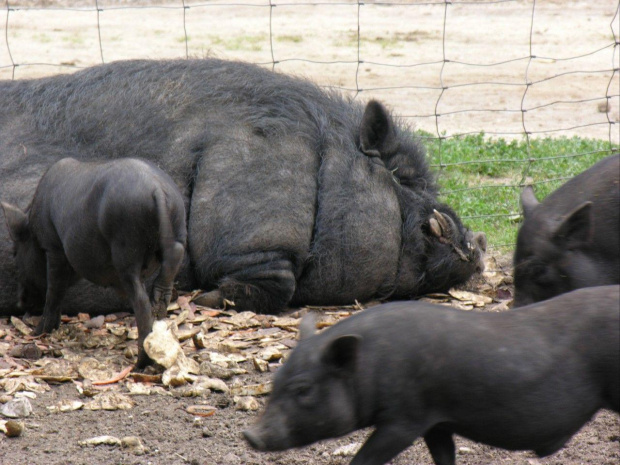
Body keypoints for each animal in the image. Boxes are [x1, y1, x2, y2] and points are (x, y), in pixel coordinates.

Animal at [0, 58, 484, 318]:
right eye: (402, 176)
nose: (478, 245)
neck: (322, 161)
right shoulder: (255, 218)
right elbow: (274, 281)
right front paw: (205, 297)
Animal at [2, 159, 186, 366]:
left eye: (15, 252)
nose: (20, 302)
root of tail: (158, 189)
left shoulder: (53, 246)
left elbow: (54, 290)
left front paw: (38, 332)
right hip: (177, 227)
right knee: (168, 274)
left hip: (126, 248)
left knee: (141, 301)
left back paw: (141, 363)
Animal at [245, 284, 616, 462]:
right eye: (275, 381)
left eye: (303, 389)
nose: (250, 435)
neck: (371, 366)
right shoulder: (437, 424)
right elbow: (444, 455)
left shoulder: (405, 419)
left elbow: (366, 458)